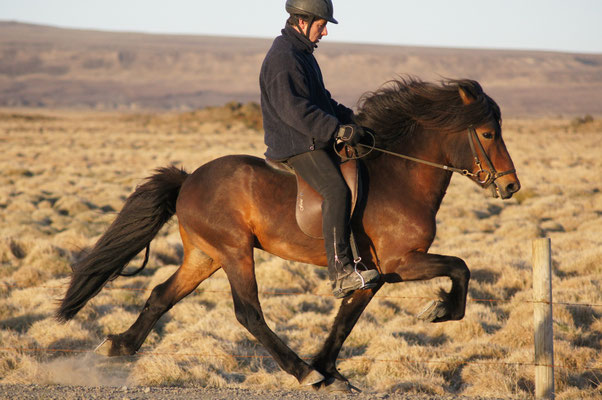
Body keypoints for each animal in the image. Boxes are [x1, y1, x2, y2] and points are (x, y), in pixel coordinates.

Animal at [55, 77, 516, 390]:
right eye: (488, 133)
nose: (511, 186)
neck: (399, 176)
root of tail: (189, 180)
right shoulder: (401, 263)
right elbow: (461, 268)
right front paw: (438, 311)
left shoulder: (374, 275)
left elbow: (345, 320)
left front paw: (332, 372)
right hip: (235, 251)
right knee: (248, 313)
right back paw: (300, 371)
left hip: (205, 255)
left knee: (160, 296)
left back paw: (118, 346)